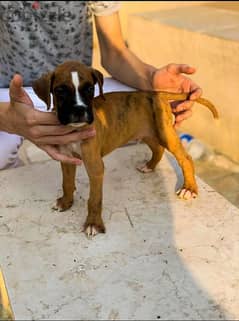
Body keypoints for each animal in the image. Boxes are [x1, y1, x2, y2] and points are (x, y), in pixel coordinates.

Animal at [32, 60, 219, 236]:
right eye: (60, 91)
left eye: (90, 89)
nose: (79, 111)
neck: (74, 130)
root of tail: (157, 93)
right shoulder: (66, 159)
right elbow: (67, 183)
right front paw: (66, 202)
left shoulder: (95, 167)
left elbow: (94, 199)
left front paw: (93, 224)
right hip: (147, 133)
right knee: (158, 149)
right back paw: (149, 166)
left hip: (165, 134)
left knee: (185, 159)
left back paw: (189, 189)